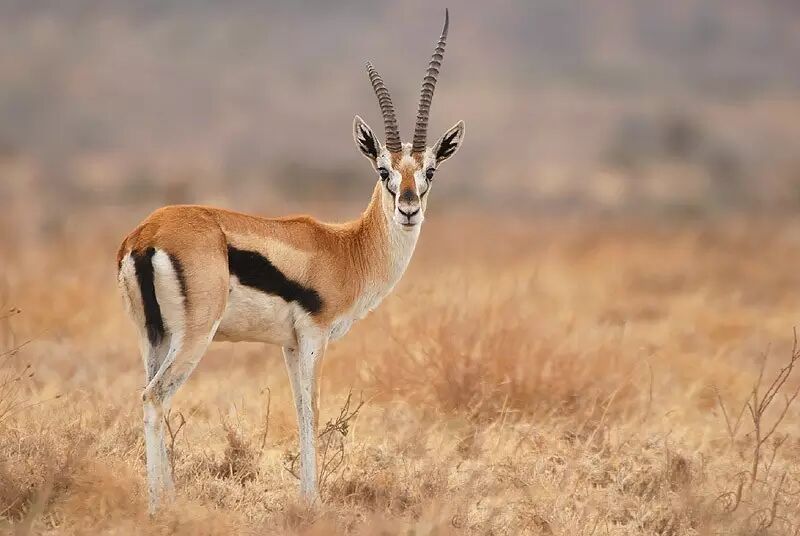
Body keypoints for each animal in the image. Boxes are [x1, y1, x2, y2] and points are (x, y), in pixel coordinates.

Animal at [117, 10, 464, 511]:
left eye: (429, 171)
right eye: (383, 170)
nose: (408, 209)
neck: (347, 249)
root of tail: (147, 234)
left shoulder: (289, 344)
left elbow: (299, 409)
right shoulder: (315, 336)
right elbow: (312, 411)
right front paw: (313, 503)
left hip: (152, 337)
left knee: (149, 395)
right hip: (194, 337)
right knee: (154, 397)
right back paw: (162, 507)